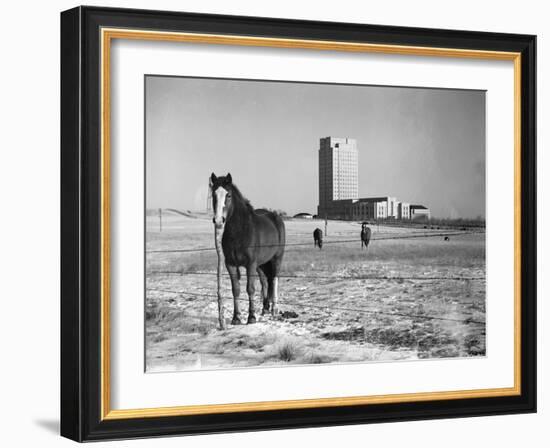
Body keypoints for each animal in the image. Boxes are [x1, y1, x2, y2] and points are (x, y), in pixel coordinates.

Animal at [211, 172, 286, 326]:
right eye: (213, 195)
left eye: (228, 195)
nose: (219, 220)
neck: (240, 232)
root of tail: (276, 216)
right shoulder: (231, 264)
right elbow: (236, 290)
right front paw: (236, 318)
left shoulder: (250, 264)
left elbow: (250, 289)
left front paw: (251, 317)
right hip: (261, 264)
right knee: (265, 282)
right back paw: (265, 308)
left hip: (276, 258)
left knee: (274, 279)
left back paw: (274, 309)